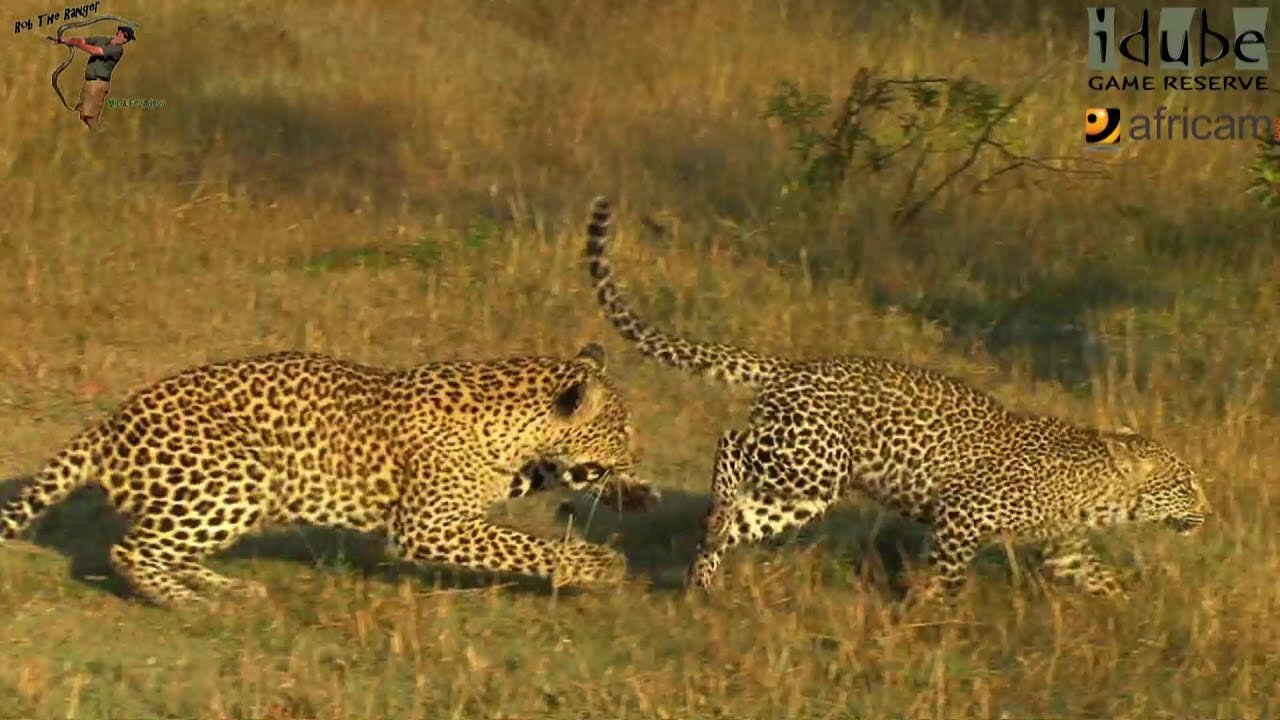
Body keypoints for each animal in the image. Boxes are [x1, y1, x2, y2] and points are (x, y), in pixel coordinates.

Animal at [586, 196, 1213, 599]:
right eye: (1184, 484)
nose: (1207, 513)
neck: (1099, 492)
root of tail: (794, 364)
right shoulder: (964, 513)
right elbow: (948, 576)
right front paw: (933, 617)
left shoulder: (1066, 548)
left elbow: (1102, 578)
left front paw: (1135, 614)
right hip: (813, 463)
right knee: (729, 443)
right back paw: (711, 521)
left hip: (803, 492)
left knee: (743, 516)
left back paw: (704, 575)